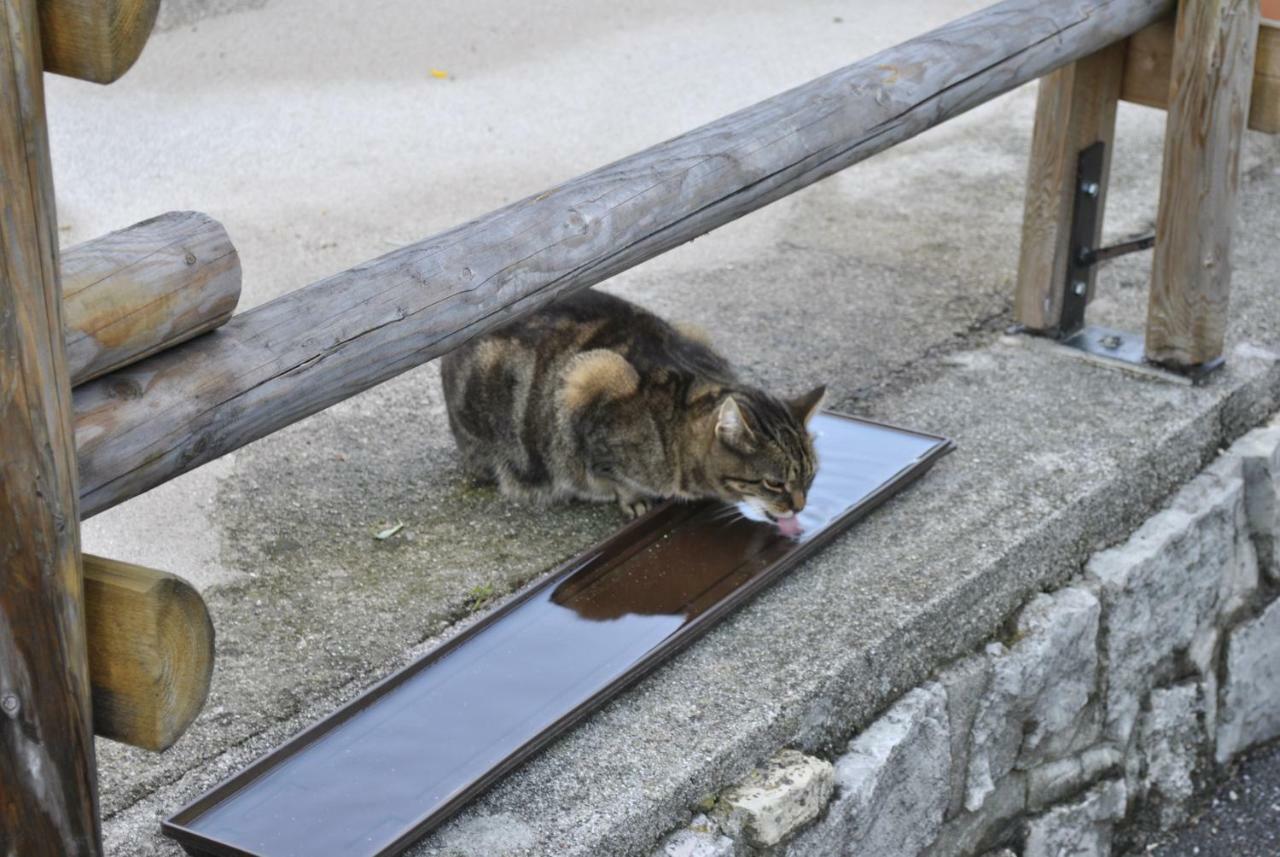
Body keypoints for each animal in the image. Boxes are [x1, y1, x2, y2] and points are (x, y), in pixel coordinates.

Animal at [440, 291, 824, 526]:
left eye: (810, 477)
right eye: (774, 483)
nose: (800, 506)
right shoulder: (588, 381)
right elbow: (612, 473)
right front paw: (633, 498)